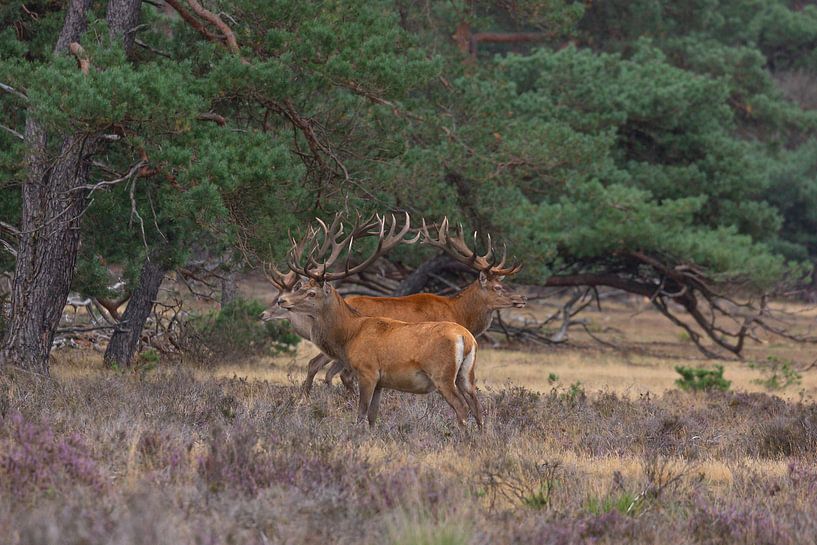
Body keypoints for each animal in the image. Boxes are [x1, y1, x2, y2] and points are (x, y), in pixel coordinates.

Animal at [280, 226, 483, 428]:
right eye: (300, 287)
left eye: (311, 293)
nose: (282, 300)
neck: (349, 336)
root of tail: (467, 338)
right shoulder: (380, 382)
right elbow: (372, 417)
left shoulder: (367, 372)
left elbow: (361, 414)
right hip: (466, 374)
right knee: (477, 408)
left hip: (442, 375)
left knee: (462, 408)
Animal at [297, 216, 527, 392]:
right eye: (497, 287)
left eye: (503, 283)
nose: (522, 298)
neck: (460, 314)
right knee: (328, 369)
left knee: (317, 366)